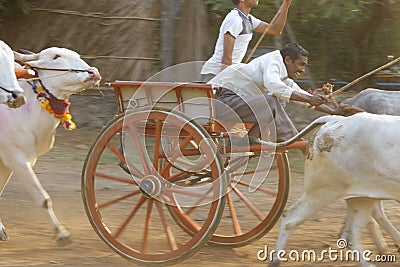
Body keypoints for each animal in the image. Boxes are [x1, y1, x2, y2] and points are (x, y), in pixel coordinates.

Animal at [0, 47, 101, 244]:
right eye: (56, 56)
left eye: (77, 56)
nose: (93, 72)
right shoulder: (16, 159)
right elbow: (43, 198)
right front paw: (62, 233)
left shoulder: (9, 163)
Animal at [272, 114, 400, 267]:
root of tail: (334, 119)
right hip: (321, 192)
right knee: (289, 218)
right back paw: (275, 260)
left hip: (362, 198)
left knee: (353, 236)